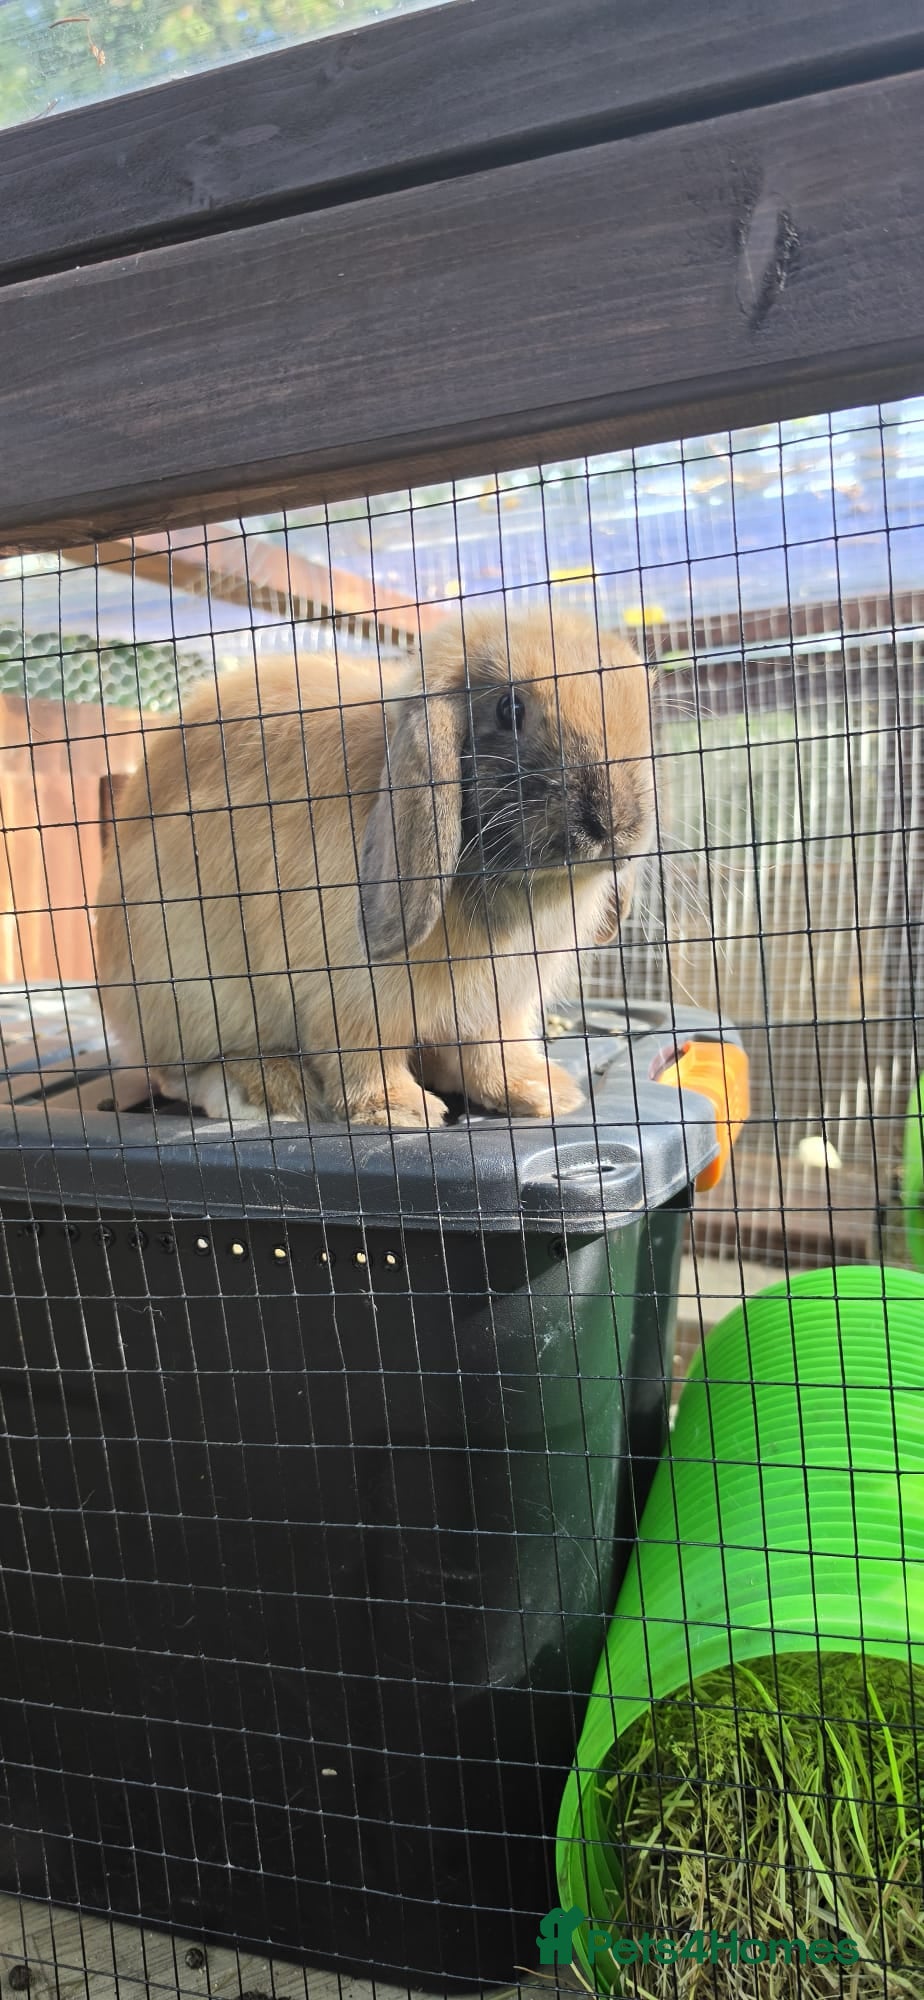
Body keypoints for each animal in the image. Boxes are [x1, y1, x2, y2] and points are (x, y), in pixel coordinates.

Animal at [94, 605, 655, 1128]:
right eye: (509, 708)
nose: (613, 825)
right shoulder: (350, 996)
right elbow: (364, 1056)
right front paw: (400, 1111)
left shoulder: (497, 1009)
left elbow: (491, 1052)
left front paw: (545, 1095)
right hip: (188, 987)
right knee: (185, 1072)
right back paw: (273, 1090)